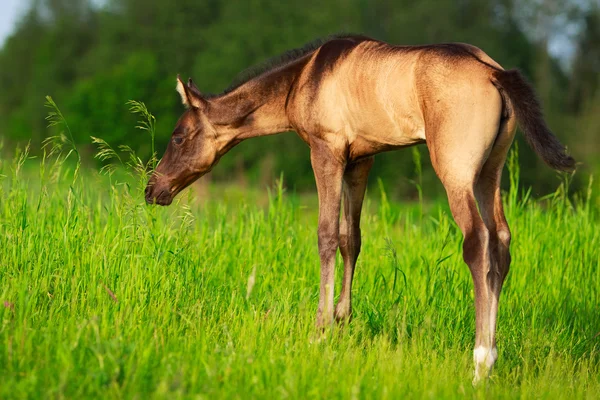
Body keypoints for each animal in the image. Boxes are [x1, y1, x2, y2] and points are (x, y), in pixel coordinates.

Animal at [143, 36, 576, 382]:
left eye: (178, 136)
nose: (153, 189)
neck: (303, 79)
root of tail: (494, 73)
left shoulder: (327, 152)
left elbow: (326, 235)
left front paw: (319, 330)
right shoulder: (361, 160)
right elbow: (352, 238)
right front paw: (342, 319)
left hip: (455, 168)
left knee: (477, 243)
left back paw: (480, 363)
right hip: (491, 170)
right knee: (501, 241)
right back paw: (494, 357)